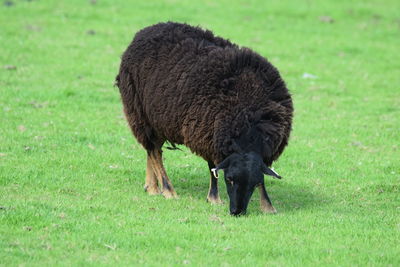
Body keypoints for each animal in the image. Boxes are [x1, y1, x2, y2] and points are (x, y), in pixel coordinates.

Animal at [115, 22, 294, 217]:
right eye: (229, 179)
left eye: (254, 184)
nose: (237, 212)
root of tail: (147, 29)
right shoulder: (207, 134)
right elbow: (212, 168)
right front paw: (214, 198)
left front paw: (268, 206)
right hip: (140, 113)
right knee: (154, 151)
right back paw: (168, 190)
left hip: (159, 119)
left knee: (153, 150)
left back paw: (152, 187)